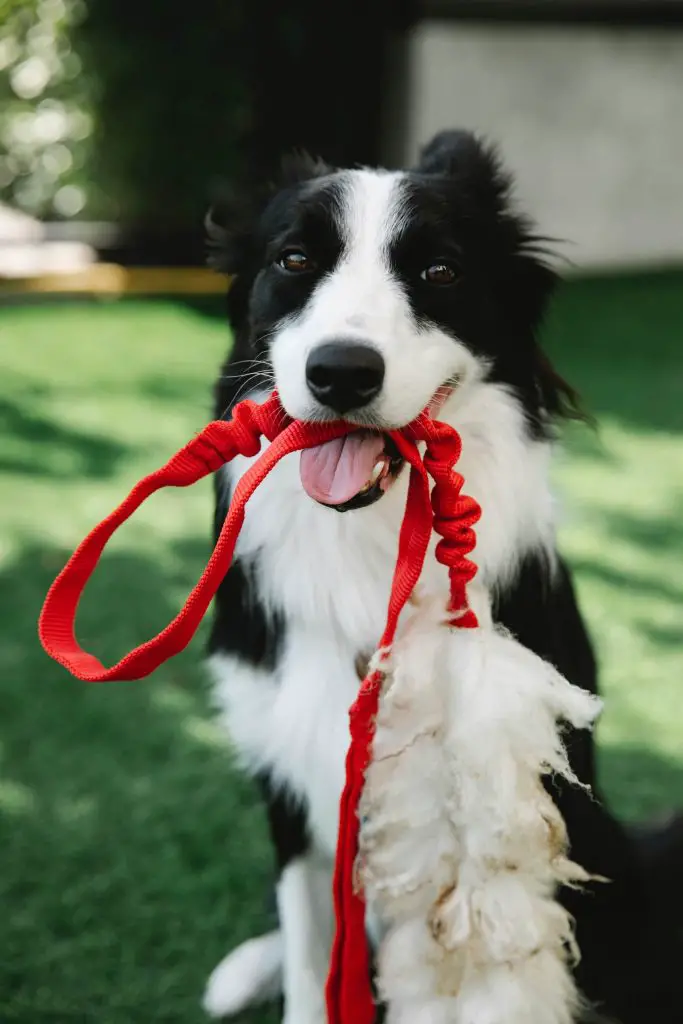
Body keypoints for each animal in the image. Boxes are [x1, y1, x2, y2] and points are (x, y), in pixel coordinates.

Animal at [200, 132, 679, 1019]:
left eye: (440, 271)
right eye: (293, 259)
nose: (340, 372)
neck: (370, 547)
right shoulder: (290, 776)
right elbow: (309, 945)